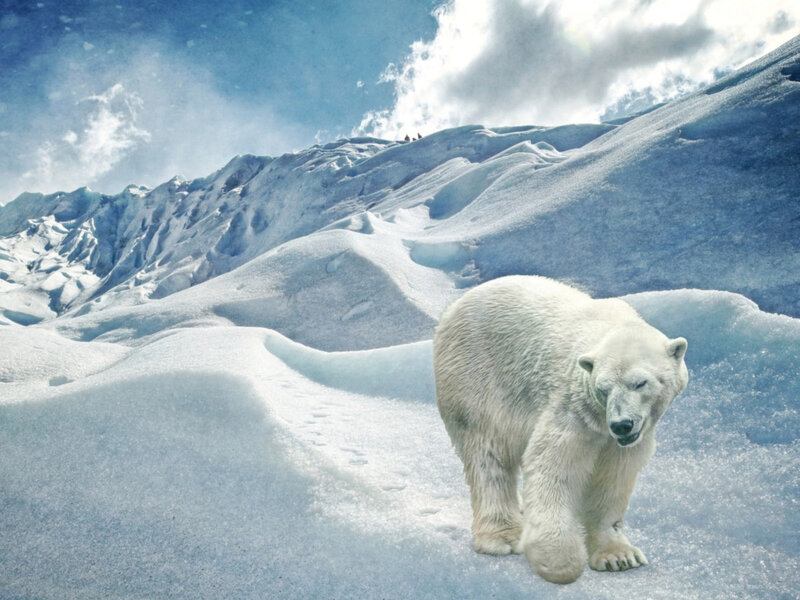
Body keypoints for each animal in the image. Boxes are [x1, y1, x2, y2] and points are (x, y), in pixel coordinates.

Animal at [433, 275, 688, 584]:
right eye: (603, 389)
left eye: (640, 383)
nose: (621, 424)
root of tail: (453, 308)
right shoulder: (571, 407)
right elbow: (552, 466)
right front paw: (558, 561)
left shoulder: (622, 440)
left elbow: (613, 478)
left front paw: (619, 556)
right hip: (475, 379)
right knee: (488, 455)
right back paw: (503, 536)